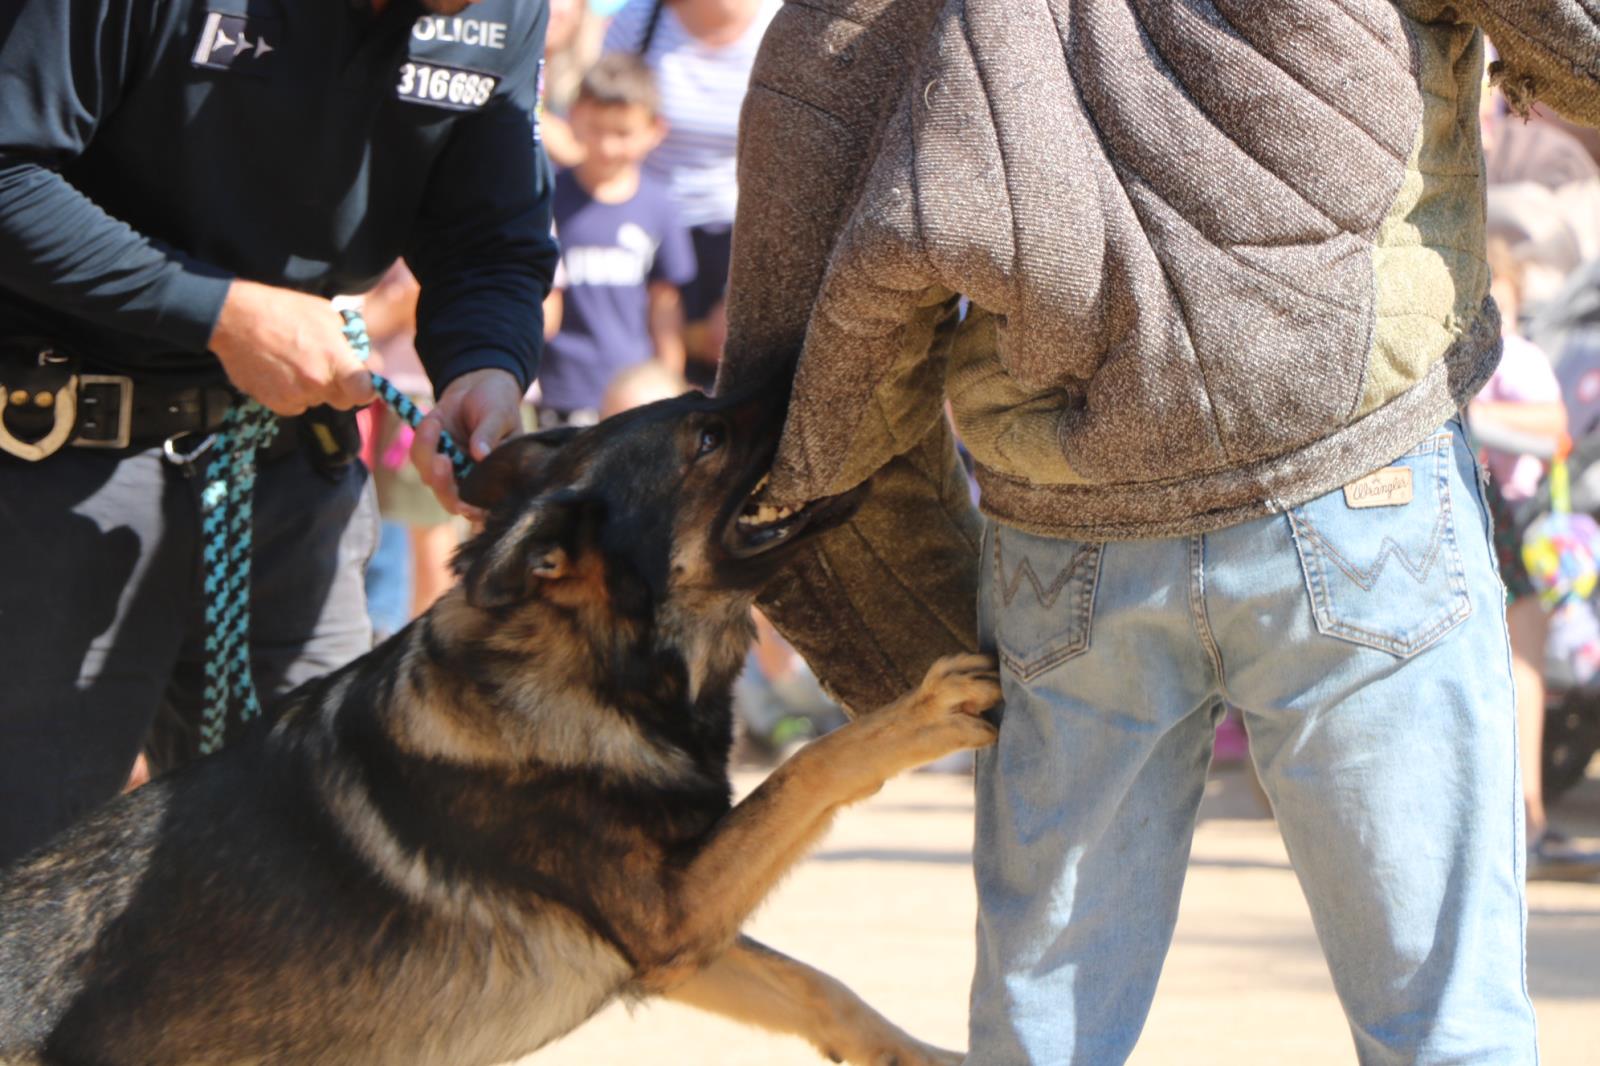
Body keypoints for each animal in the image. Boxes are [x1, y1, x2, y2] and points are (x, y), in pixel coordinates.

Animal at [0, 379, 998, 1062]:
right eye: (708, 436)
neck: (588, 671)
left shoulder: (676, 946)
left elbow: (824, 988)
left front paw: (928, 1056)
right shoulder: (674, 910)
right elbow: (808, 768)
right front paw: (921, 713)